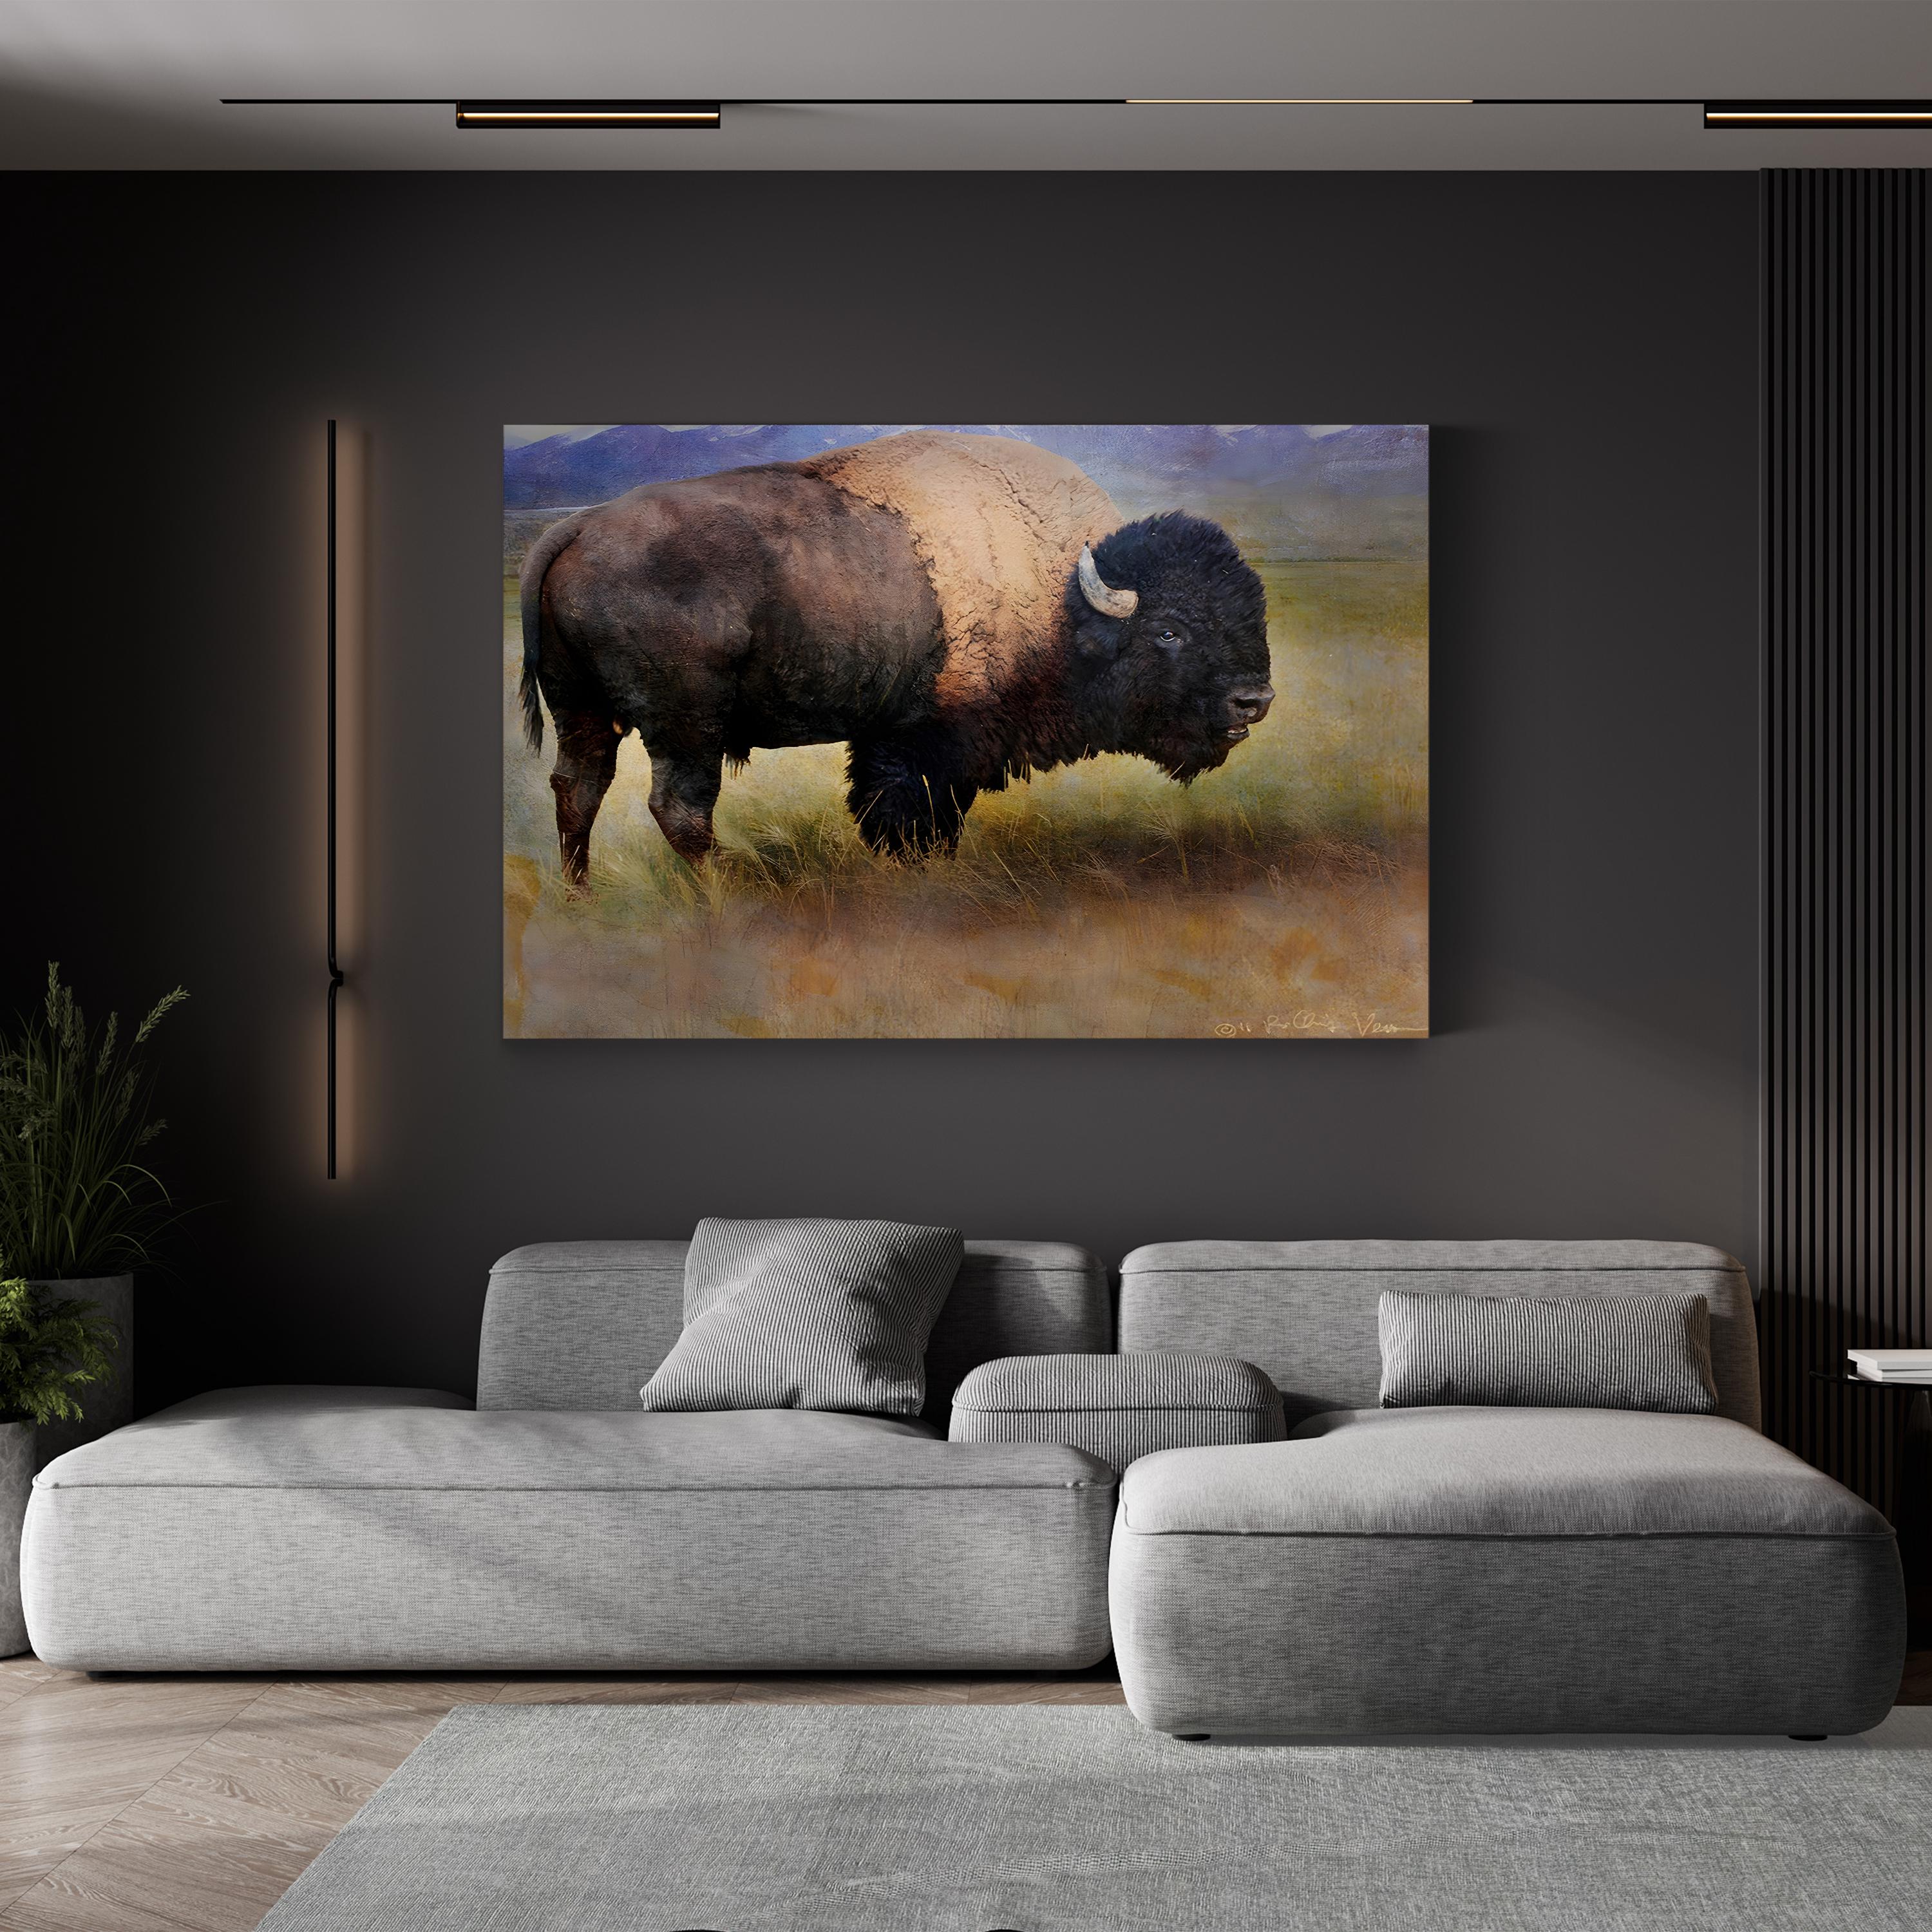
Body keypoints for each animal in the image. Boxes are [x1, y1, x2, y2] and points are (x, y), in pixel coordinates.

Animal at [519, 429, 1273, 879]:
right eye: (1169, 631)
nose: (1254, 700)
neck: (1063, 598)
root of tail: (575, 529)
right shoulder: (931, 743)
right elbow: (915, 813)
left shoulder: (895, 736)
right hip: (684, 726)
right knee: (679, 808)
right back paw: (729, 893)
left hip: (582, 711)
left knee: (578, 791)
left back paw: (581, 896)